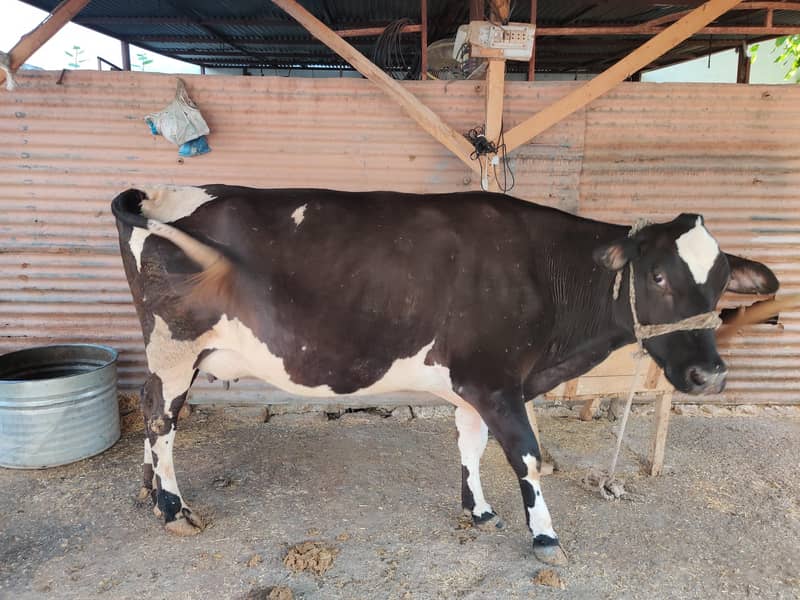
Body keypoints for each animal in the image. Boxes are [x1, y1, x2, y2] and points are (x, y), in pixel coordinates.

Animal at [111, 185, 779, 566]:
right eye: (658, 276)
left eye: (723, 282)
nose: (710, 375)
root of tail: (160, 196)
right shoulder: (495, 380)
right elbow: (526, 456)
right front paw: (545, 538)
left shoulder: (475, 383)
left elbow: (471, 444)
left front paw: (478, 510)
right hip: (174, 342)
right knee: (159, 415)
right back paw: (173, 509)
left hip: (176, 351)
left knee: (153, 410)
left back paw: (148, 493)